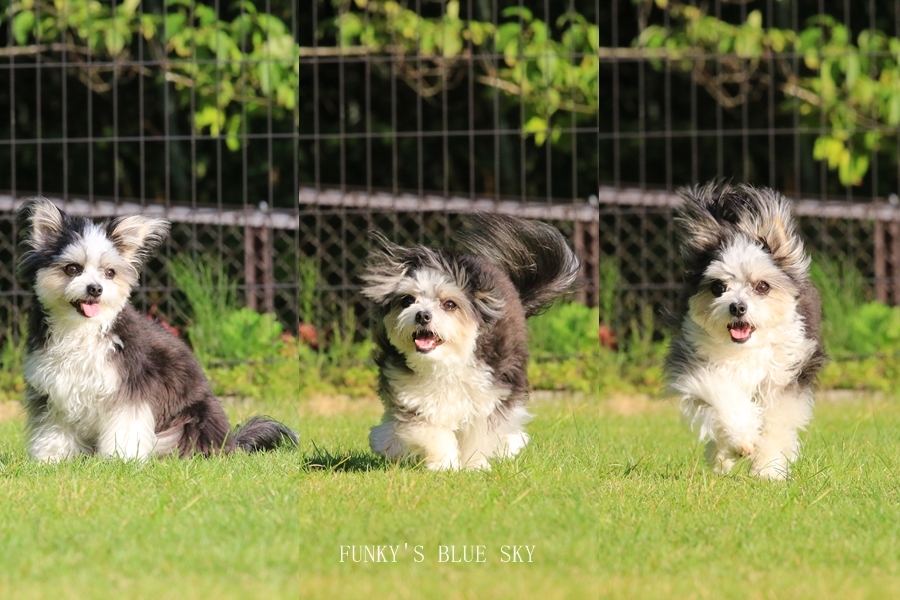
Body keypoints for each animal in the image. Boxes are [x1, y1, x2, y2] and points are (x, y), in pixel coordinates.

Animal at [16, 199, 298, 462]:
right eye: (72, 268)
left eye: (110, 272)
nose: (95, 288)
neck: (81, 329)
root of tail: (231, 443)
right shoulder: (52, 391)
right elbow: (53, 429)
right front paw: (50, 459)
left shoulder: (131, 387)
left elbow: (125, 427)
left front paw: (121, 458)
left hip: (191, 421)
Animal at [358, 213, 576, 472]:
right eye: (408, 300)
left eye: (450, 304)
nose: (422, 315)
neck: (445, 362)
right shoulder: (410, 393)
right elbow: (428, 428)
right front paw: (443, 463)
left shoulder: (490, 391)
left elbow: (480, 431)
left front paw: (474, 465)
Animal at [668, 180, 824, 480]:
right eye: (718, 287)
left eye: (762, 286)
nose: (737, 307)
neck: (746, 348)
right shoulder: (698, 362)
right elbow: (725, 398)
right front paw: (741, 441)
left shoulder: (785, 371)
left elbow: (776, 420)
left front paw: (768, 468)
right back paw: (722, 454)